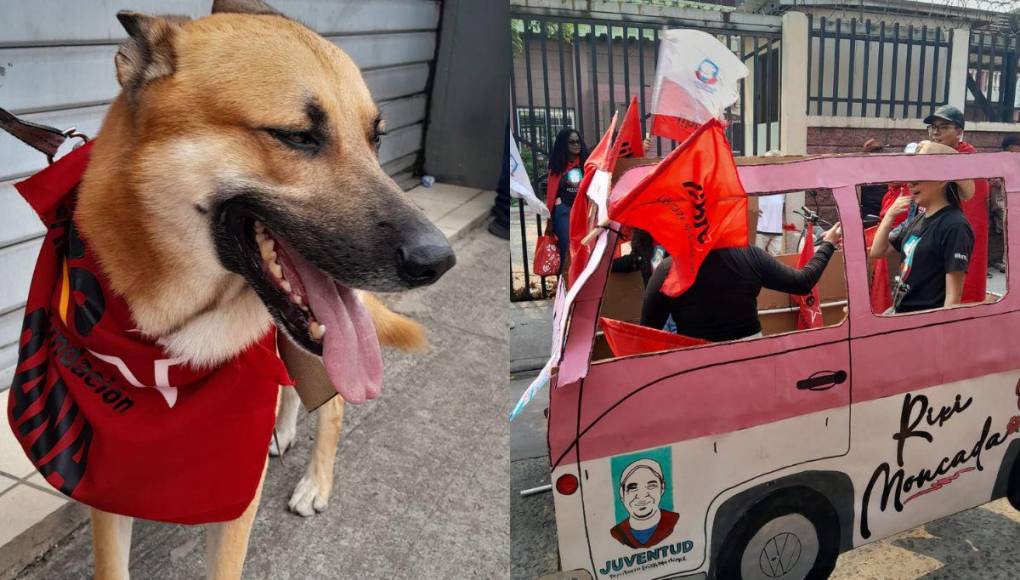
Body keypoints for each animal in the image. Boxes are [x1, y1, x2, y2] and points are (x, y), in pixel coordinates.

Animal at [73, 2, 452, 574]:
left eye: (376, 138)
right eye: (297, 136)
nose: (438, 260)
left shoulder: (234, 502)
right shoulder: (108, 490)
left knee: (332, 404)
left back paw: (315, 482)